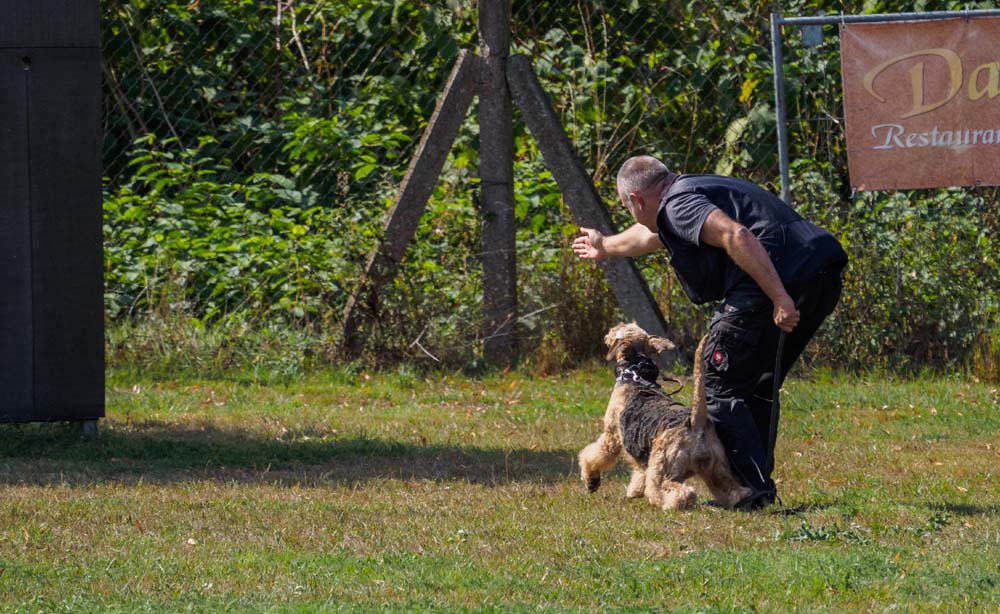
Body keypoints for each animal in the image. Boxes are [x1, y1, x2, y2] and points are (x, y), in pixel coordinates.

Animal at [580, 322, 752, 510]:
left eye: (621, 330)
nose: (611, 330)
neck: (634, 375)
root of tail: (695, 423)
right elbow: (639, 472)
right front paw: (634, 491)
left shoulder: (611, 437)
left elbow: (594, 455)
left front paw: (591, 481)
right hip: (717, 469)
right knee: (735, 490)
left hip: (663, 469)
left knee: (679, 491)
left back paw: (669, 504)